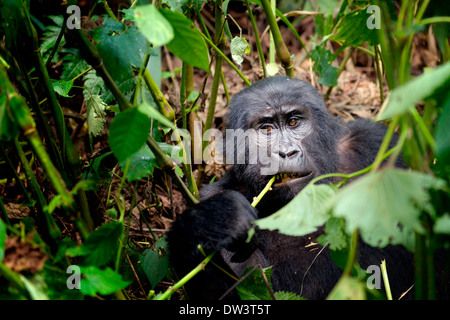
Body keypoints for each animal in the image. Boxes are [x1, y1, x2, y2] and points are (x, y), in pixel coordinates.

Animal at [167, 75, 416, 300]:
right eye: (267, 128)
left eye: (293, 122)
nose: (286, 152)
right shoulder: (215, 194)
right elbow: (249, 292)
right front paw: (211, 222)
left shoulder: (375, 144)